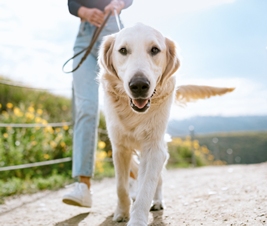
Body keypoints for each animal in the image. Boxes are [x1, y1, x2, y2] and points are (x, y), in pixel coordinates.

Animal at [98, 23, 234, 226]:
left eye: (155, 50)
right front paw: (122, 212)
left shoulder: (155, 149)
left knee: (157, 180)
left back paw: (156, 201)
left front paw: (137, 219)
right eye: (123, 50)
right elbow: (120, 186)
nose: (139, 85)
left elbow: (147, 187)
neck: (134, 114)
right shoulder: (119, 147)